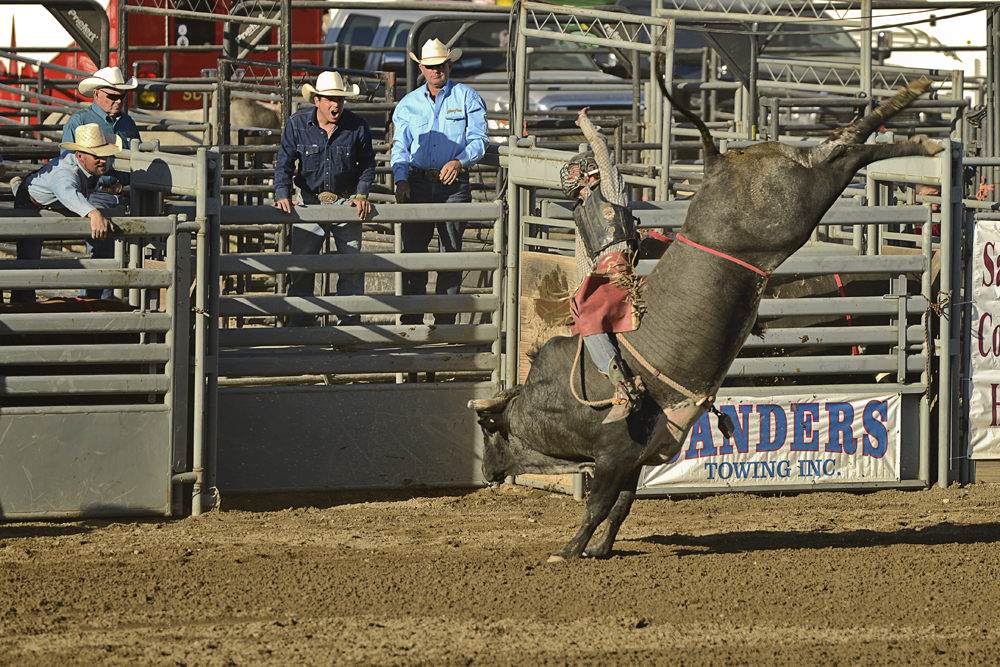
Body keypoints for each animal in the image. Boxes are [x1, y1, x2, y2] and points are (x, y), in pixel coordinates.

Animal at [466, 69, 936, 564]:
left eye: (488, 430)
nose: (487, 472)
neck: (551, 399)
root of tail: (716, 164)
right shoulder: (638, 457)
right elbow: (621, 507)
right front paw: (600, 549)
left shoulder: (614, 453)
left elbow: (597, 505)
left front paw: (571, 549)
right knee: (839, 145)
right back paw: (916, 113)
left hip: (793, 206)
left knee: (845, 152)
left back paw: (918, 130)